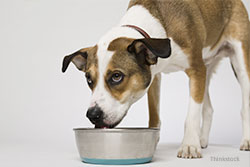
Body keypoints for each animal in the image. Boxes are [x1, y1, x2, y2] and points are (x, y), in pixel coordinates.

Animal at [61, 0, 249, 159]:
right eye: (88, 79)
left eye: (116, 76)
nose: (92, 115)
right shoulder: (155, 76)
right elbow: (155, 115)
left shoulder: (196, 69)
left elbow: (192, 115)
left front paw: (189, 145)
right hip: (207, 67)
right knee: (208, 107)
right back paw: (201, 140)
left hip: (240, 62)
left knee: (243, 104)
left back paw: (245, 140)